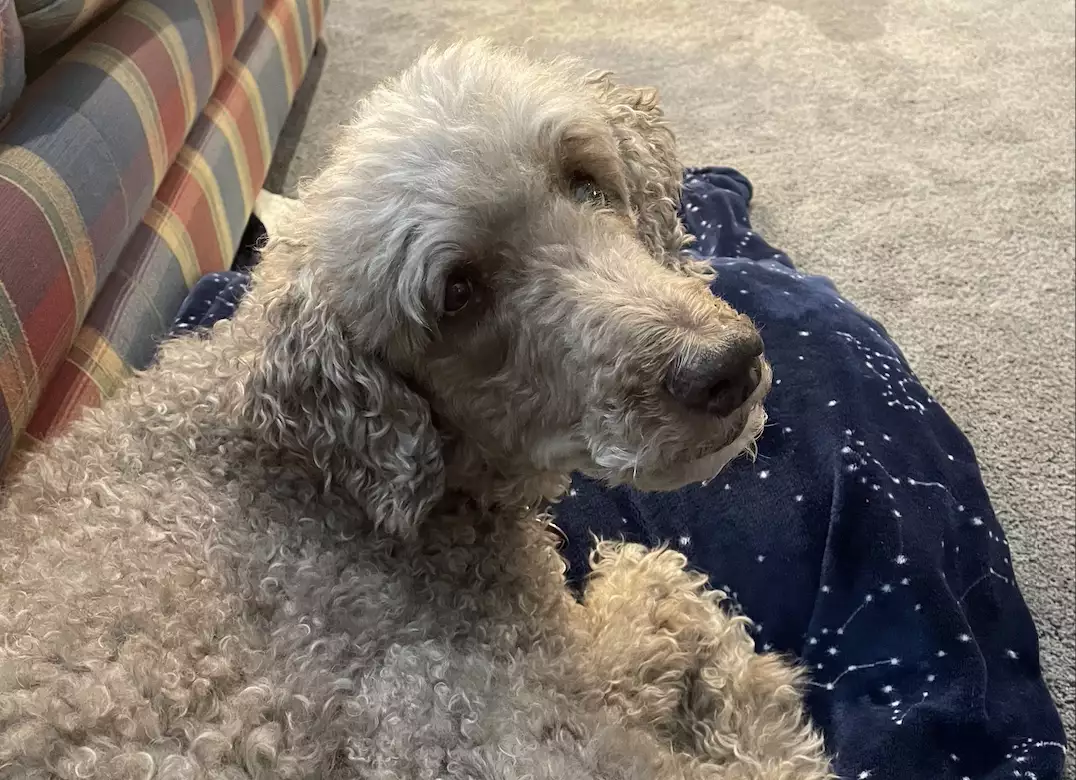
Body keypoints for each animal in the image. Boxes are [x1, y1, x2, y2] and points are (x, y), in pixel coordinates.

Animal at [0, 41, 830, 778]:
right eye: (457, 292)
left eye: (587, 180)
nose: (725, 368)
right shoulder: (472, 724)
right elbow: (672, 605)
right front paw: (760, 694)